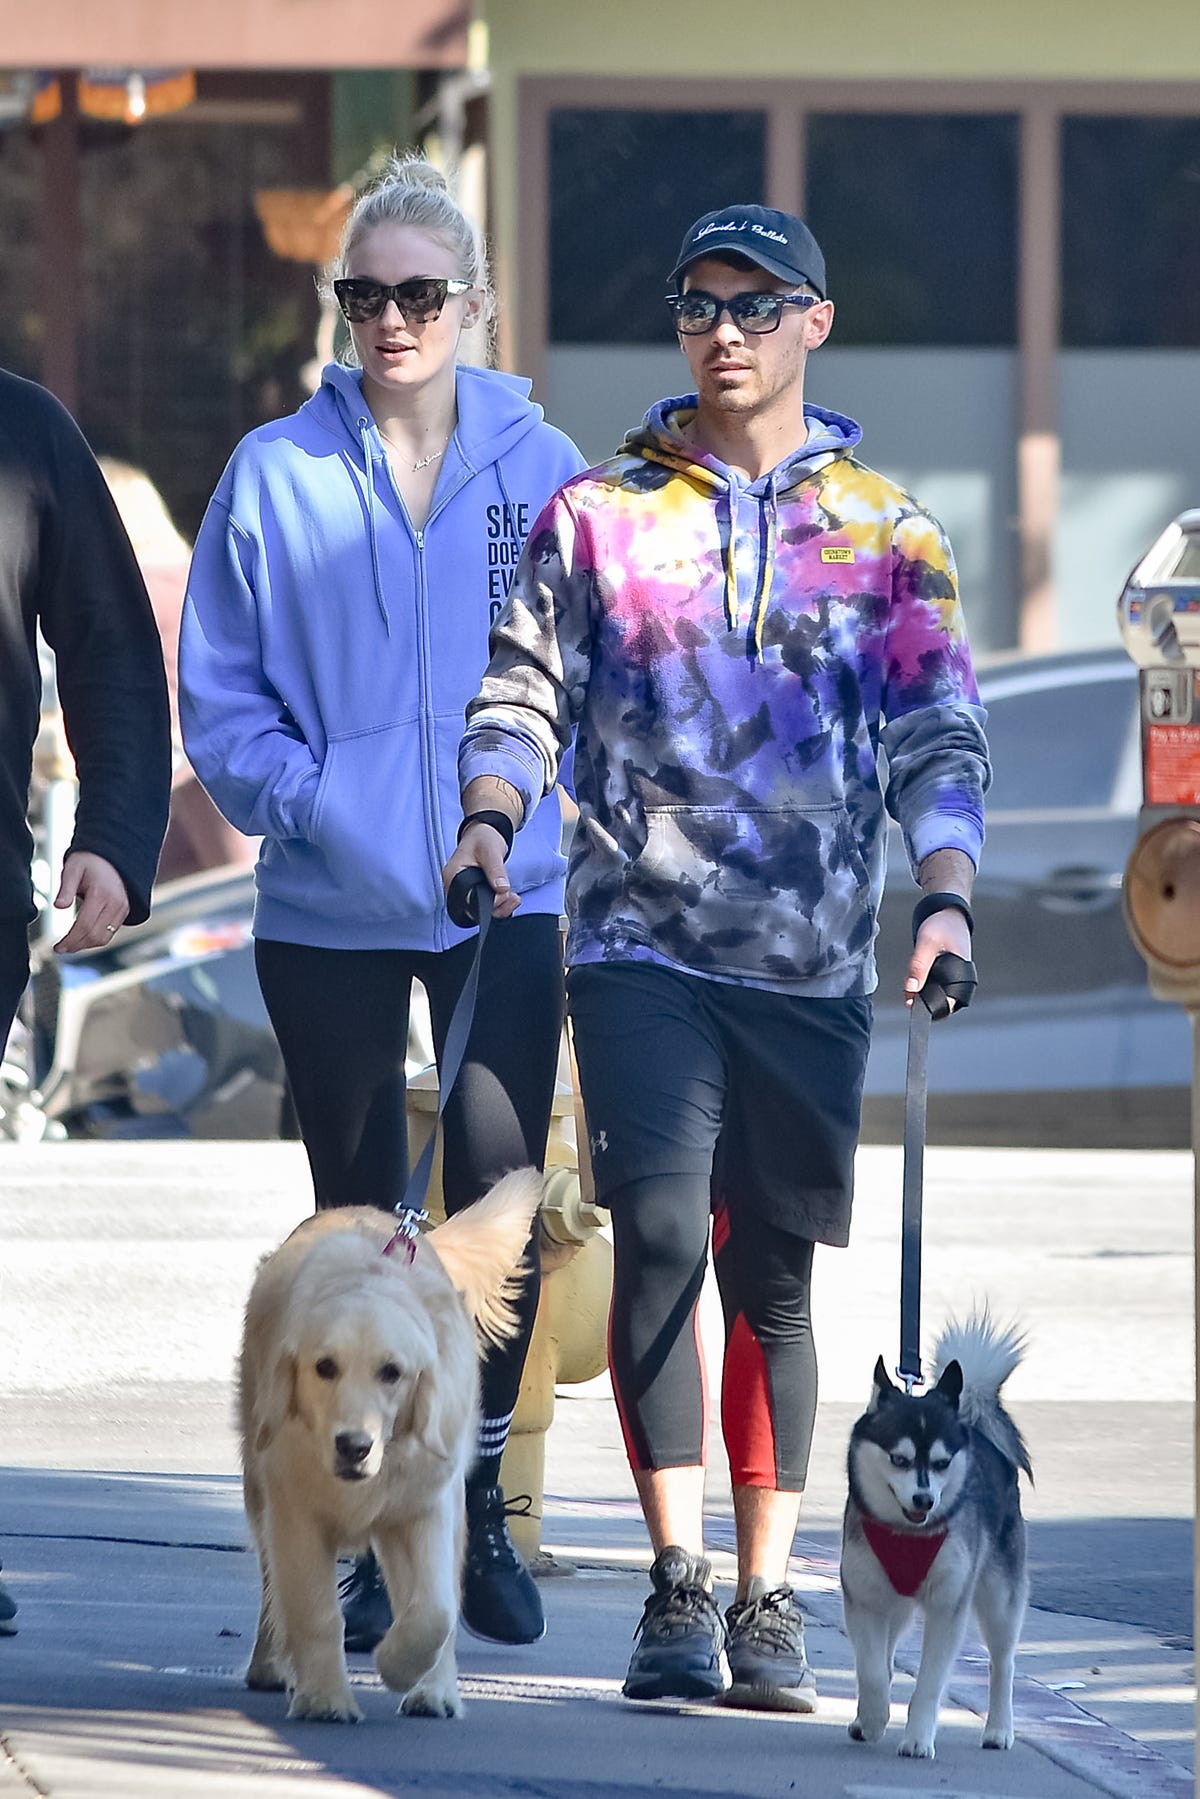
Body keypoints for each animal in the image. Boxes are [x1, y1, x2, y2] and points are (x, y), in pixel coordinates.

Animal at [841, 1309, 1029, 1755]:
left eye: (942, 1463)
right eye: (899, 1459)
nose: (924, 1500)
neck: (904, 1534)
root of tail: (978, 1428)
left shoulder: (948, 1607)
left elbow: (929, 1683)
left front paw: (917, 1737)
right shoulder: (864, 1599)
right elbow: (873, 1671)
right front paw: (872, 1717)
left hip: (999, 1596)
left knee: (1003, 1660)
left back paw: (999, 1728)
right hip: (894, 1602)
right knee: (888, 1648)